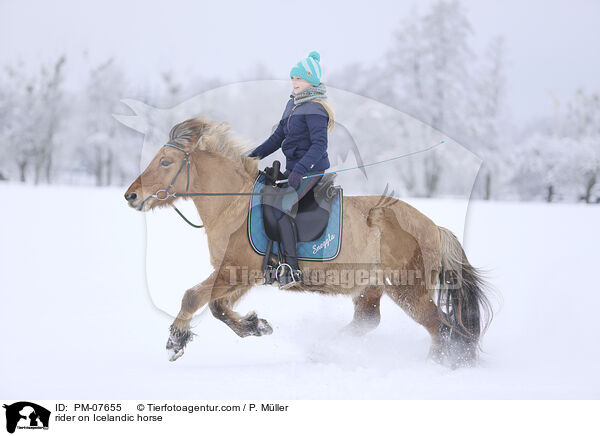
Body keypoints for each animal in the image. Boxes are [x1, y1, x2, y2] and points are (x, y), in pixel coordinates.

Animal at [123, 116, 492, 368]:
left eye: (166, 162)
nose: (131, 196)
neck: (235, 203)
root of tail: (434, 227)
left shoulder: (234, 271)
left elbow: (193, 297)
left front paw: (175, 340)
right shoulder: (244, 275)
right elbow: (217, 306)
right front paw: (255, 326)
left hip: (408, 289)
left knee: (440, 327)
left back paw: (439, 366)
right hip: (370, 287)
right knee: (369, 321)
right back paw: (324, 349)